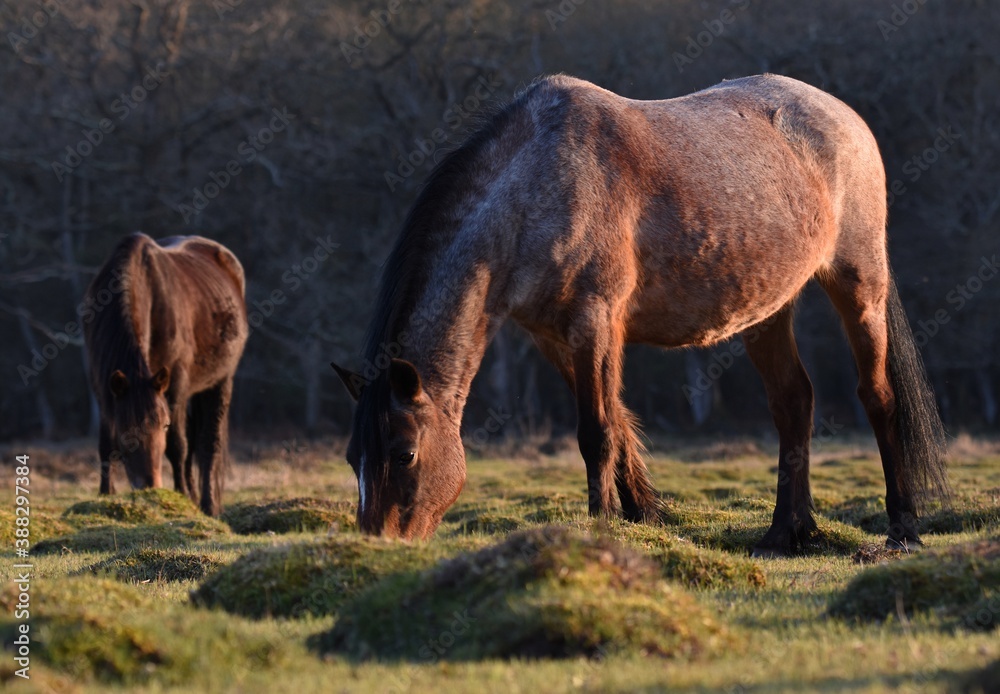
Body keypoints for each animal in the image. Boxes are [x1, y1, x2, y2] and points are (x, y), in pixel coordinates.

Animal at [83, 232, 248, 516]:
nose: (149, 486)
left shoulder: (175, 386)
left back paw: (207, 505)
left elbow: (177, 445)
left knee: (208, 444)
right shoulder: (102, 388)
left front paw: (181, 495)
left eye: (163, 424)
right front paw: (105, 495)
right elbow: (105, 445)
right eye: (125, 428)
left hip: (219, 382)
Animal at [332, 73, 949, 556]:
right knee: (793, 403)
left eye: (404, 453)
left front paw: (602, 528)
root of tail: (846, 118)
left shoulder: (595, 321)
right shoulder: (554, 336)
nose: (380, 547)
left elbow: (598, 431)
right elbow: (619, 423)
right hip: (767, 311)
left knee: (878, 397)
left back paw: (901, 530)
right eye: (351, 458)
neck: (535, 186)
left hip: (859, 283)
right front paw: (643, 516)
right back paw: (785, 533)